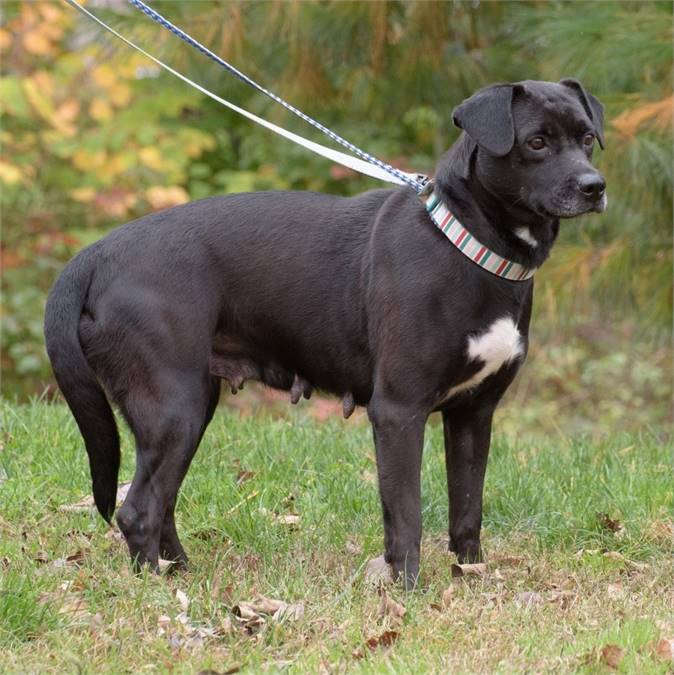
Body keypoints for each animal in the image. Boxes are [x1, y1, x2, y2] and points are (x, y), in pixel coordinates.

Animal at [46, 78, 604, 588]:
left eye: (587, 139)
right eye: (536, 141)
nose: (595, 186)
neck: (468, 247)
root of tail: (95, 256)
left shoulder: (473, 414)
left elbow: (467, 509)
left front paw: (472, 580)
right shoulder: (398, 410)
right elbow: (406, 515)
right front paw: (408, 593)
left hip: (190, 408)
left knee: (161, 503)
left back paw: (182, 573)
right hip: (173, 408)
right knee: (138, 510)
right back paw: (160, 590)